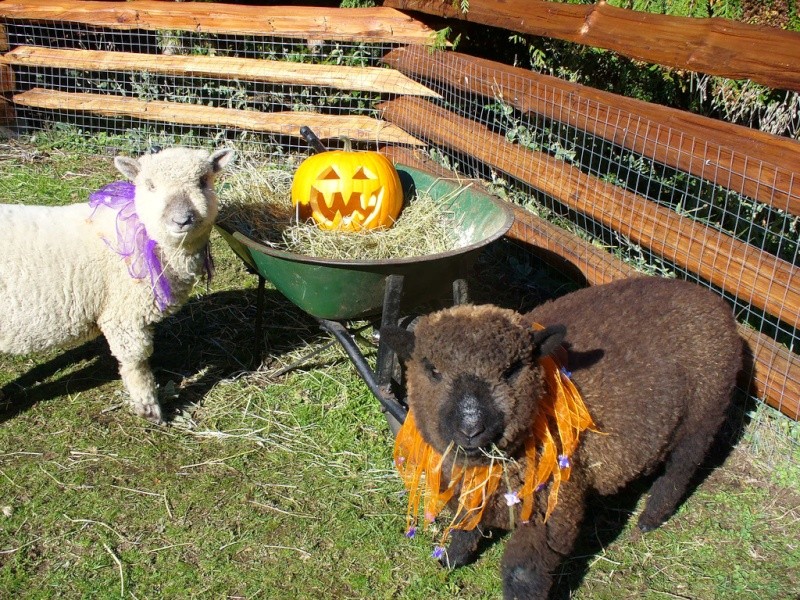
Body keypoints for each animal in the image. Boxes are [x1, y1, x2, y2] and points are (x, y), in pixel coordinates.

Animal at [0, 148, 234, 424]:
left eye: (202, 181)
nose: (181, 220)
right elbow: (136, 363)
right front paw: (150, 410)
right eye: (150, 185)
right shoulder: (123, 317)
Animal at [382, 276, 744, 600]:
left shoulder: (556, 503)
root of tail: (711, 299)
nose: (471, 428)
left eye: (512, 369)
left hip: (704, 416)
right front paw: (451, 560)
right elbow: (464, 527)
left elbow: (524, 574)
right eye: (432, 370)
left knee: (680, 470)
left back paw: (649, 519)